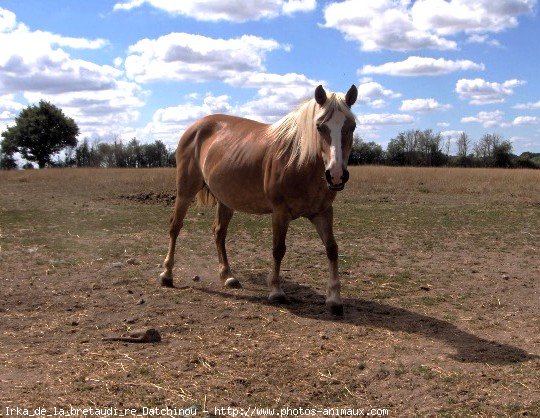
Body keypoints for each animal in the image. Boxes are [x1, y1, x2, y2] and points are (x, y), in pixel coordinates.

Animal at [160, 83, 358, 316]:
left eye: (352, 126)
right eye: (319, 127)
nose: (335, 175)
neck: (298, 161)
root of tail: (194, 128)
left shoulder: (323, 212)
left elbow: (332, 249)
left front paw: (334, 299)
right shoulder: (280, 212)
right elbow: (278, 249)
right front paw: (276, 291)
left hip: (226, 199)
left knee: (219, 233)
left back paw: (228, 276)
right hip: (185, 191)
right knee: (175, 227)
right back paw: (167, 274)